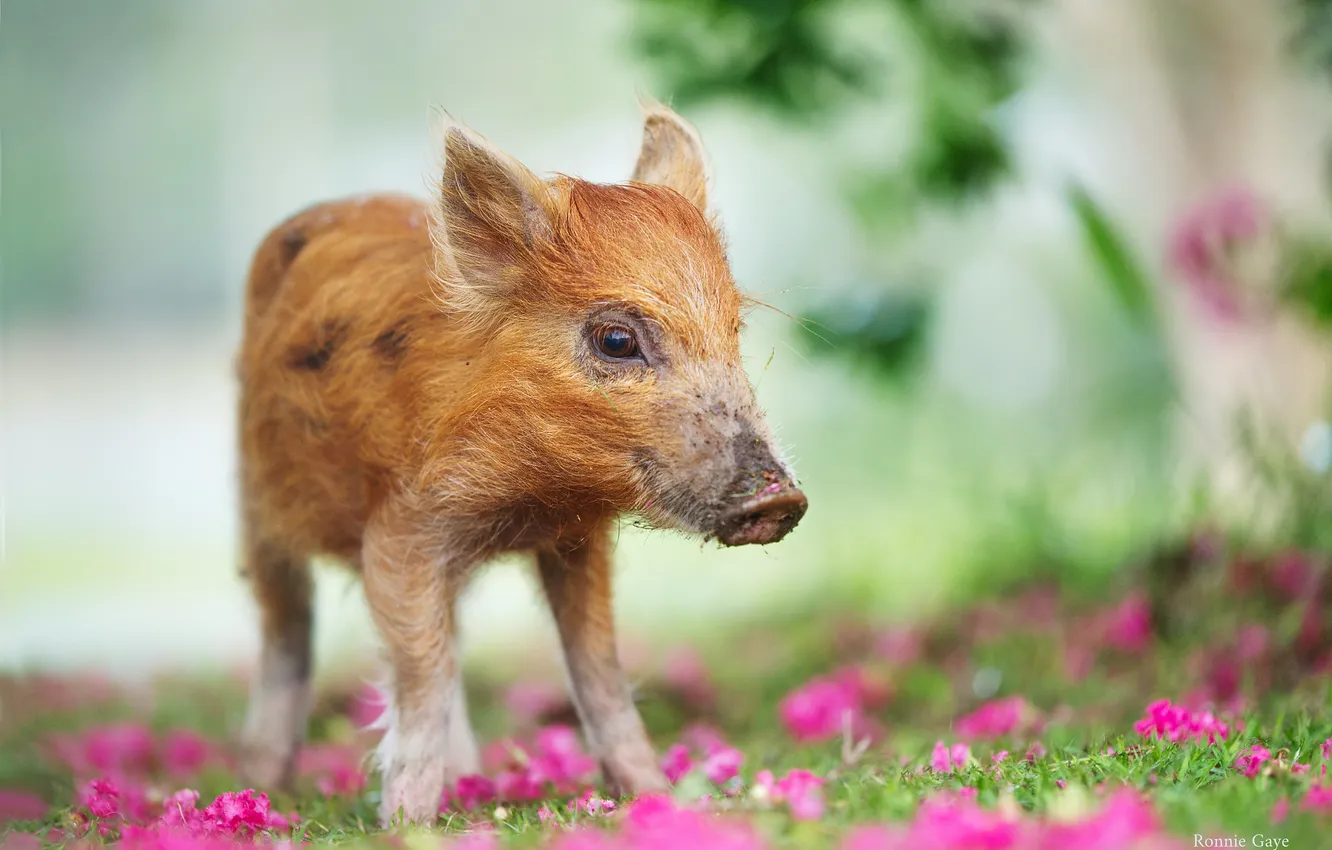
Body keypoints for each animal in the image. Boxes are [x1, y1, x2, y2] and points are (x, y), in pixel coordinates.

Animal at [235, 101, 807, 825]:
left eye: (734, 332)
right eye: (616, 340)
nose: (780, 499)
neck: (528, 500)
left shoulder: (579, 542)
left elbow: (599, 667)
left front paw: (653, 796)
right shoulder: (401, 530)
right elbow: (420, 676)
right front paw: (406, 828)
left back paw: (469, 780)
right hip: (255, 504)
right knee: (286, 626)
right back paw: (266, 784)